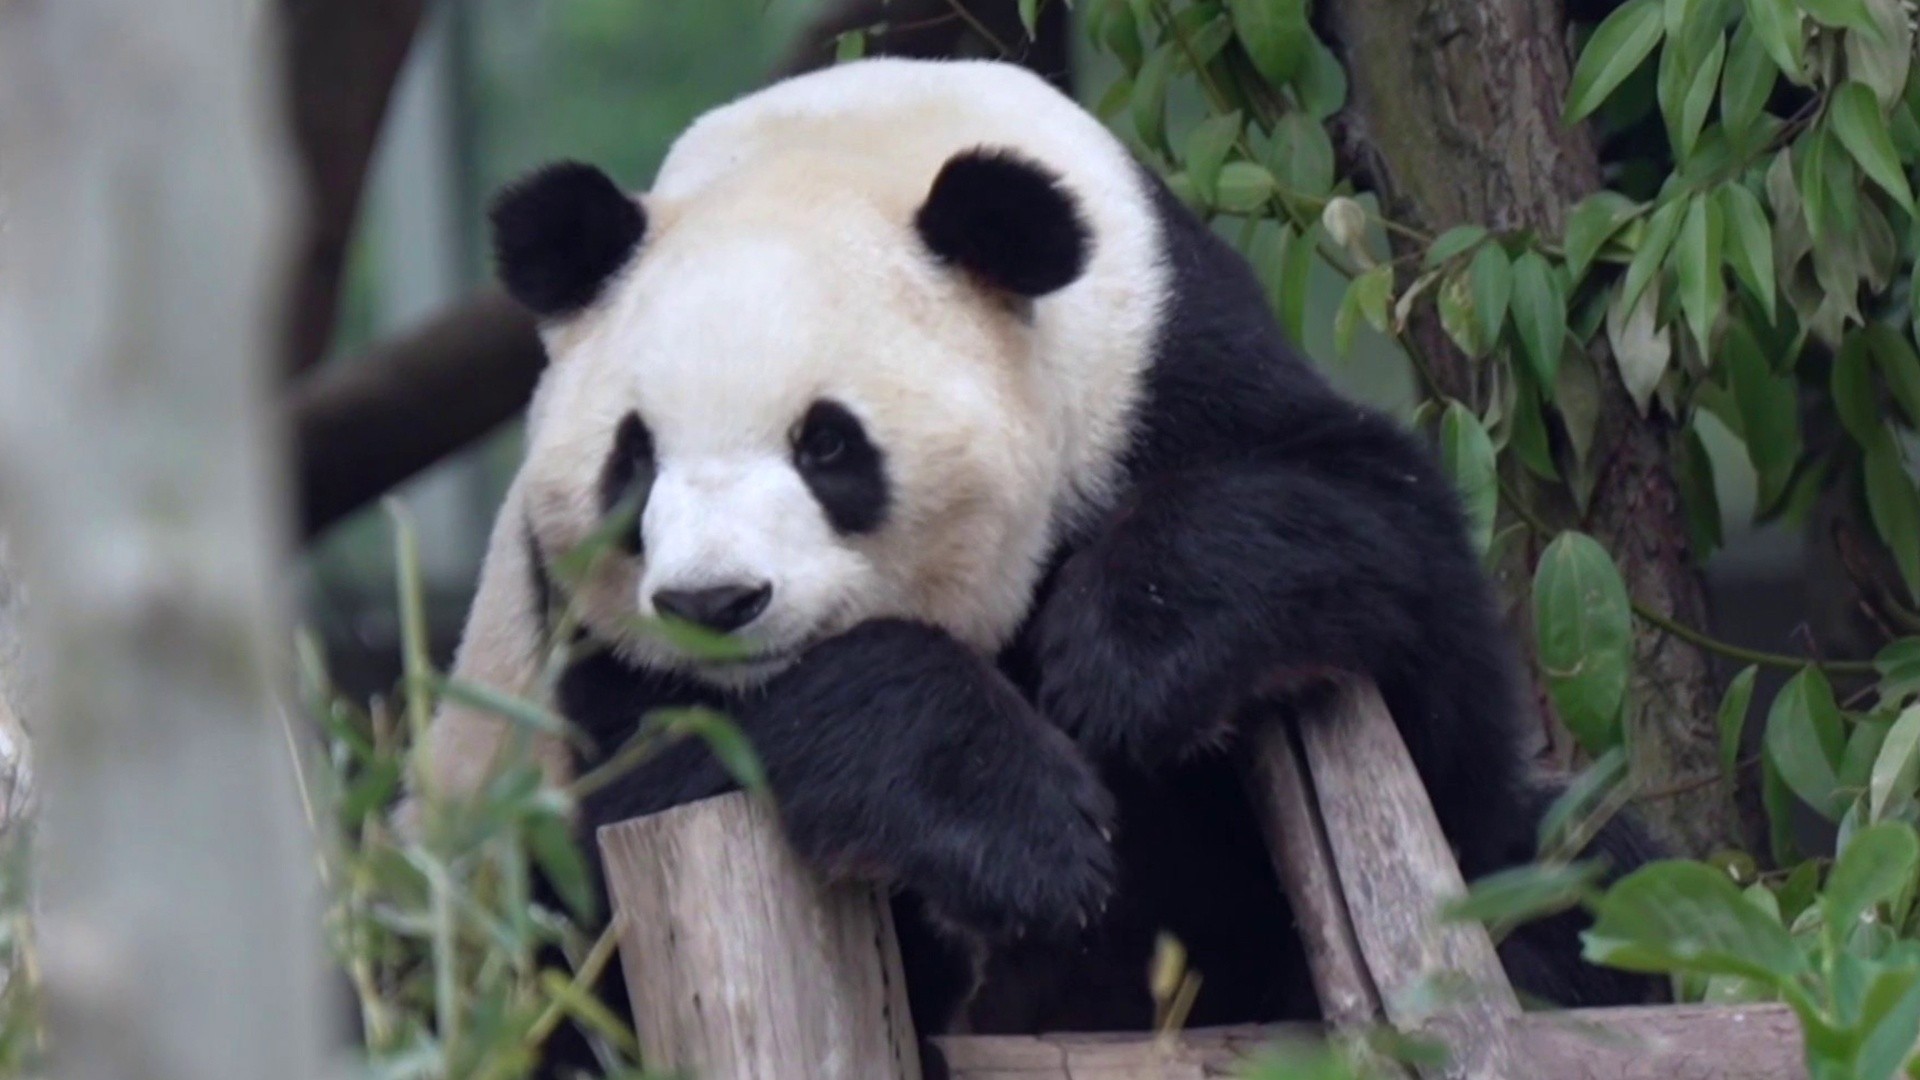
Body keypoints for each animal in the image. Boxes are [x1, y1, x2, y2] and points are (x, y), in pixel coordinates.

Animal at [422, 56, 1660, 1069]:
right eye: (633, 461)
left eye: (827, 444)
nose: (712, 600)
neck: (839, 142)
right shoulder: (569, 653)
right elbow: (653, 787)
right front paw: (1017, 836)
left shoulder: (1164, 354)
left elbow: (1401, 604)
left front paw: (1128, 663)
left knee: (1582, 884)